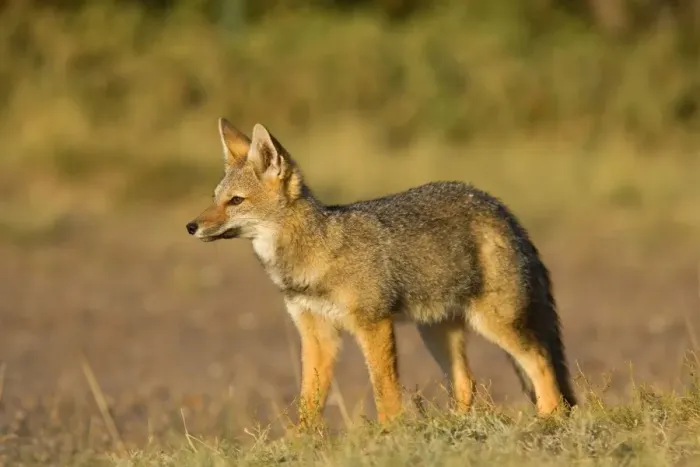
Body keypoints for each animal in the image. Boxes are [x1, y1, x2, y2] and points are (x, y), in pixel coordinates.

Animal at [186, 118, 577, 427]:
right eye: (214, 198)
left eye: (235, 201)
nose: (190, 226)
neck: (315, 253)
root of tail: (496, 204)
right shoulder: (317, 333)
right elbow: (309, 401)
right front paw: (300, 444)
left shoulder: (373, 324)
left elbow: (384, 390)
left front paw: (390, 433)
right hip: (436, 332)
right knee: (467, 384)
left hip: (494, 323)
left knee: (542, 361)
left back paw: (549, 420)